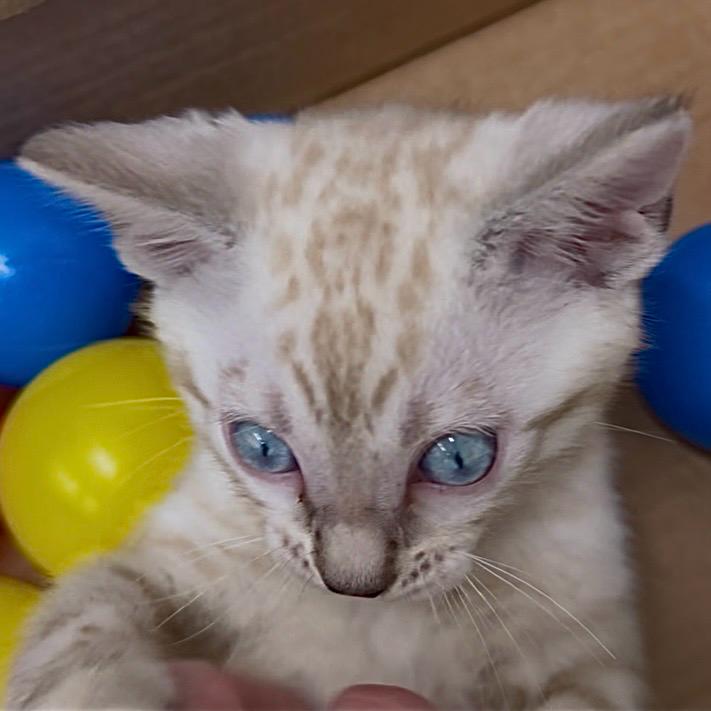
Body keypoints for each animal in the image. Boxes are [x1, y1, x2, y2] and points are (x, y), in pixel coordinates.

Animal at [6, 96, 690, 710]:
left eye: (459, 460)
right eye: (261, 448)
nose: (352, 583)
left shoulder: (587, 654)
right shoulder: (170, 559)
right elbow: (83, 615)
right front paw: (95, 696)